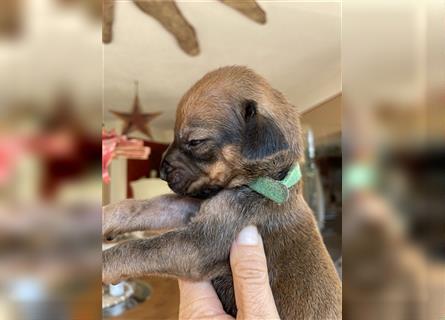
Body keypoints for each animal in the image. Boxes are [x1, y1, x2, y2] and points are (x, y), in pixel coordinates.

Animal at [103, 66, 340, 318]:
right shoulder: (193, 206)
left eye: (195, 142)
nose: (162, 173)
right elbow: (145, 205)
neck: (265, 182)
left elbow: (139, 248)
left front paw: (105, 261)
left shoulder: (200, 243)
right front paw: (106, 216)